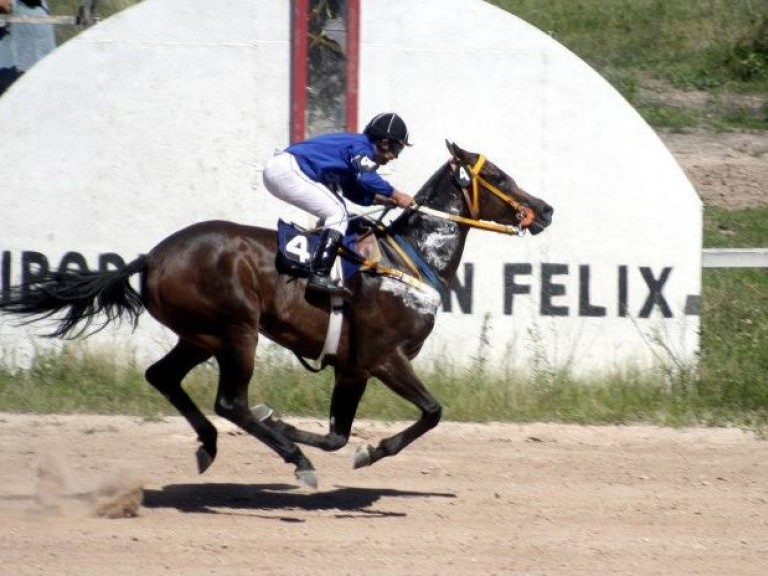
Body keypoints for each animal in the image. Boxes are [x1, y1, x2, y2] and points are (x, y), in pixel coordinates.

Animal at [0, 141, 552, 486]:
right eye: (497, 175)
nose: (544, 210)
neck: (407, 259)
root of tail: (152, 257)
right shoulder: (383, 357)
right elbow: (431, 412)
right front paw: (362, 451)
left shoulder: (353, 367)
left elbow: (337, 435)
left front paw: (311, 433)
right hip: (236, 331)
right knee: (230, 402)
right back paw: (292, 459)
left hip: (199, 335)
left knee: (163, 376)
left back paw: (210, 444)